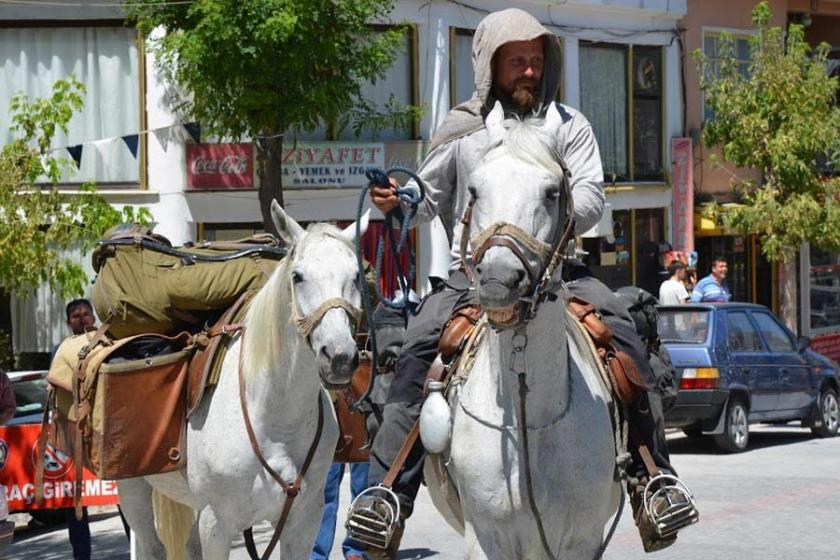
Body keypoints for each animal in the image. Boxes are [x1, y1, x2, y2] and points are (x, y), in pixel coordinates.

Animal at [118, 202, 368, 560]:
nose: (339, 357)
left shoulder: (304, 521)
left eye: (356, 277)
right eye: (298, 276)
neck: (275, 417)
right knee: (152, 546)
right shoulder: (217, 525)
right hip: (133, 488)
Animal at [426, 101, 624, 560]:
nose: (499, 280)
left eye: (551, 192)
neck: (527, 421)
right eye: (475, 190)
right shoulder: (486, 538)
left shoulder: (582, 539)